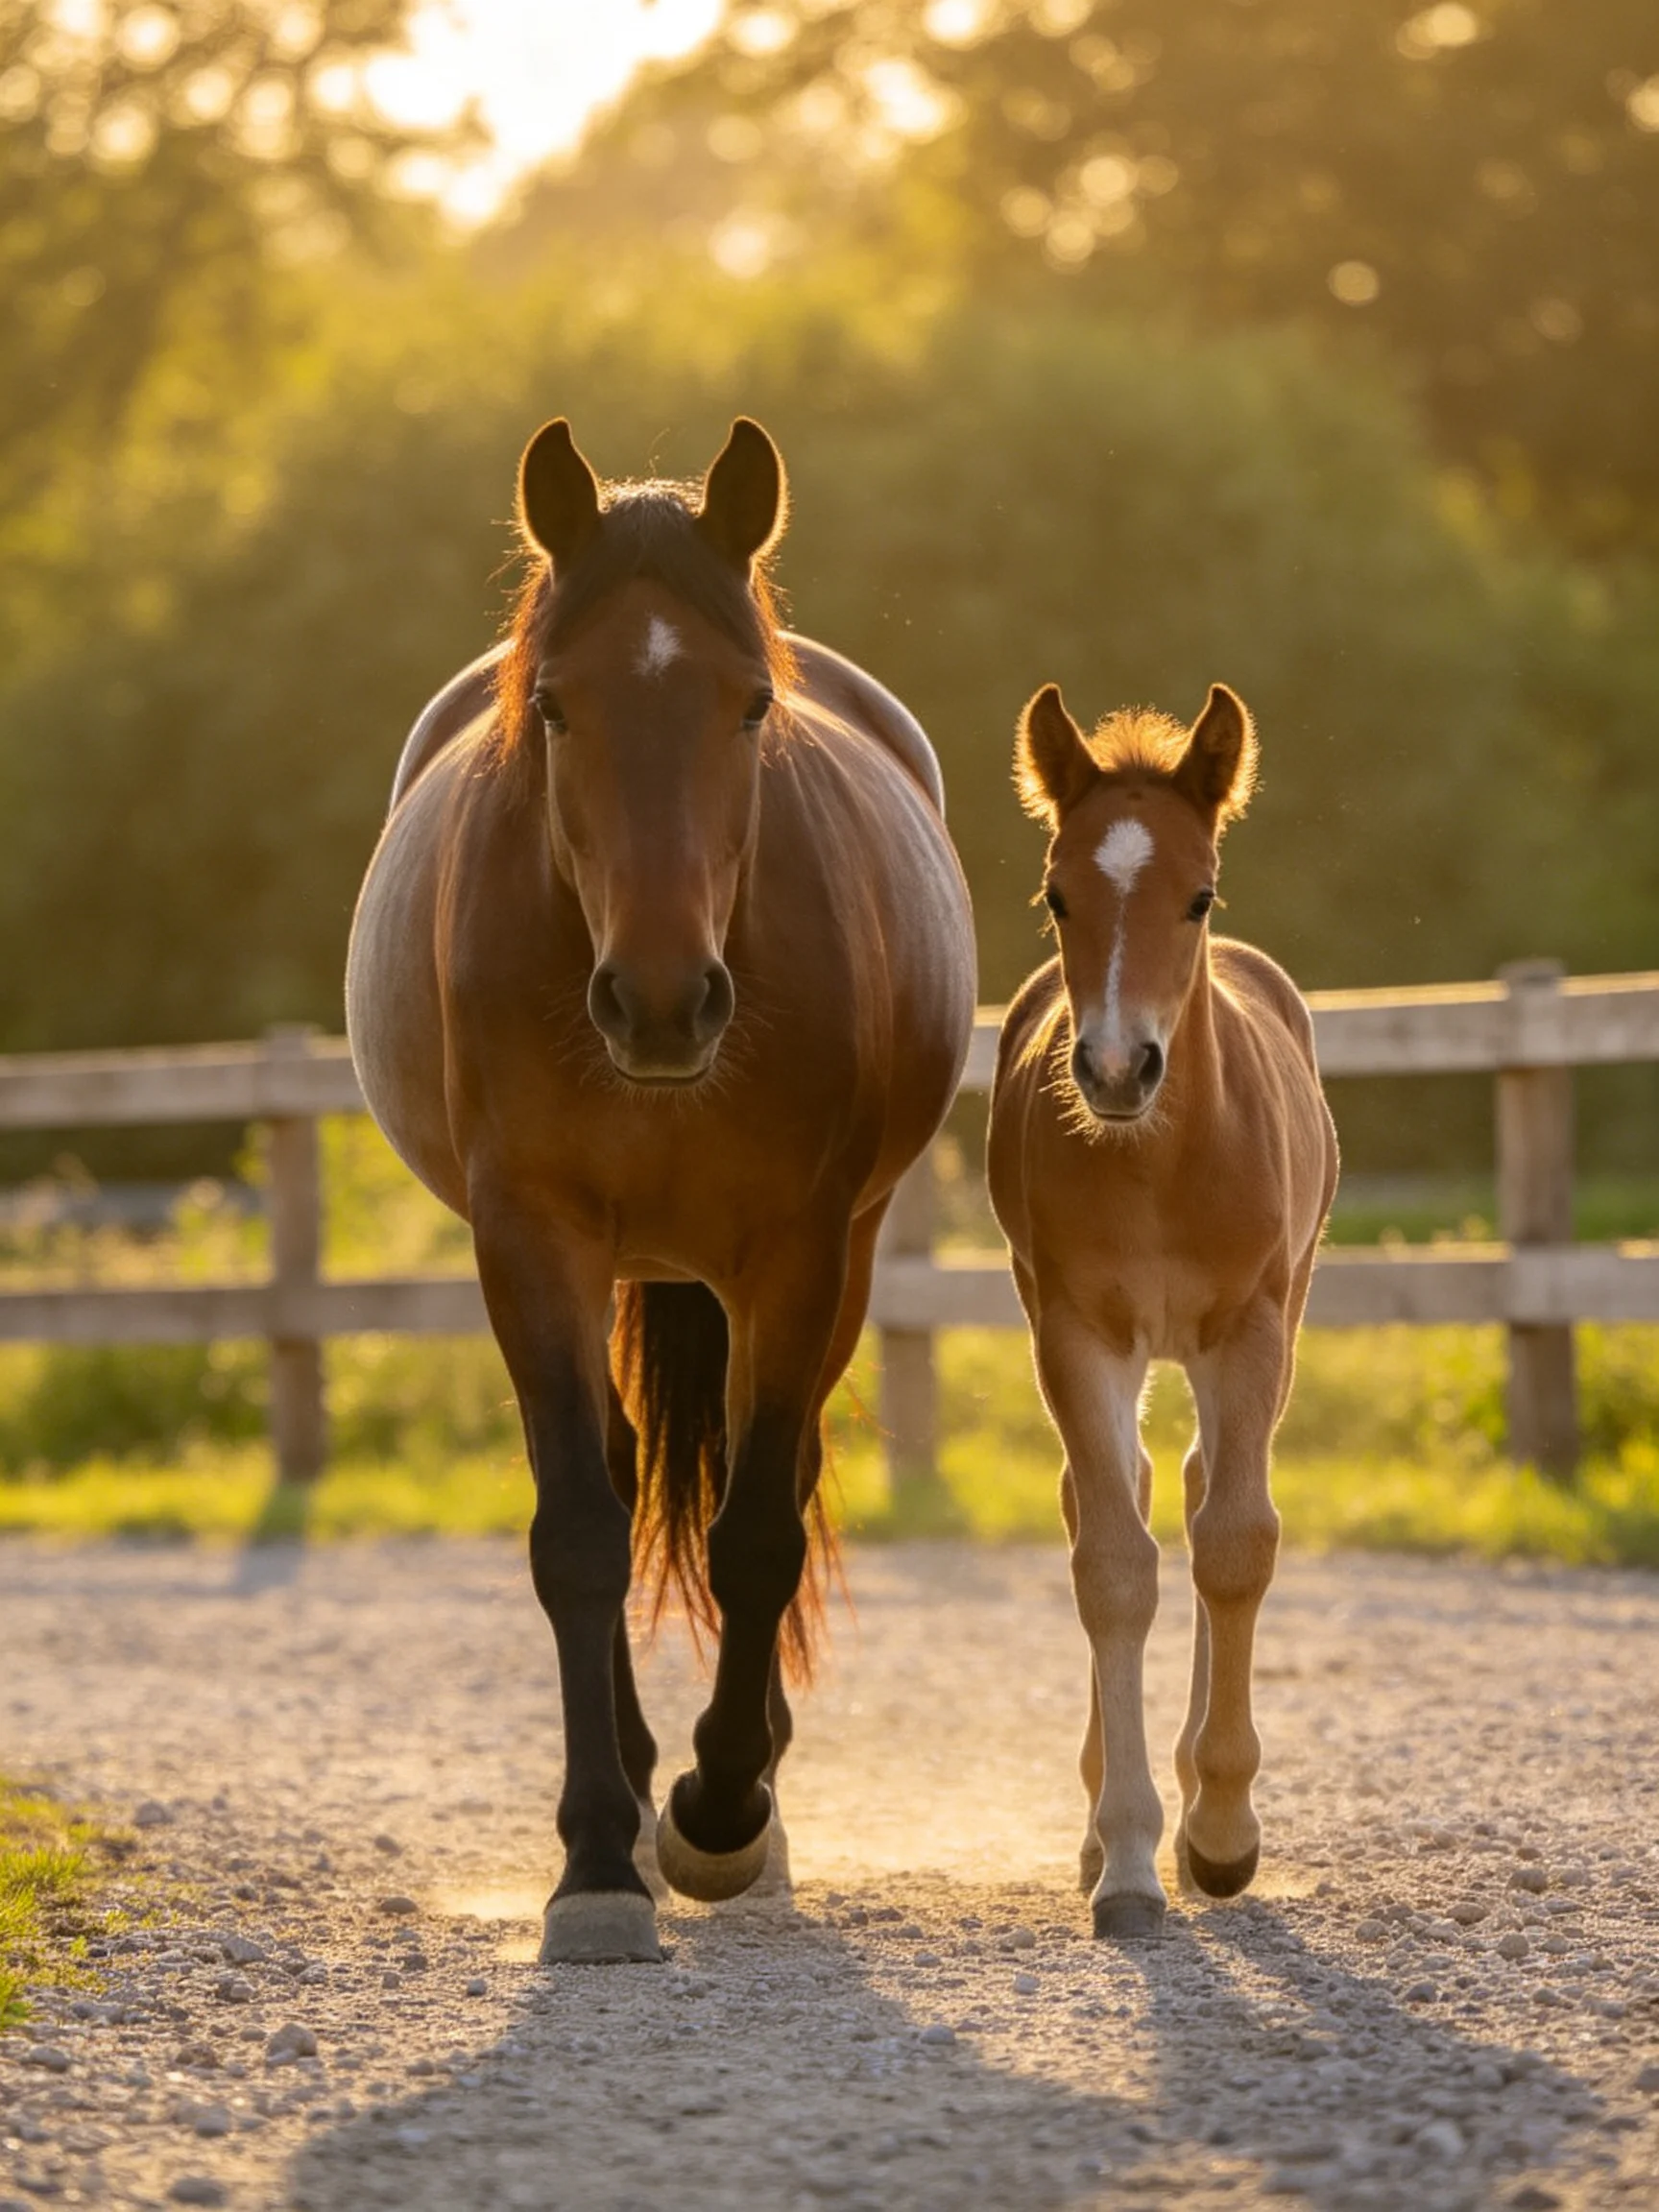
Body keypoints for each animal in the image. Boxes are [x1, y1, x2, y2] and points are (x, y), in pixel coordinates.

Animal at [346, 417, 976, 1963]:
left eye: (749, 708)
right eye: (556, 709)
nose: (661, 1002)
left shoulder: (800, 1251)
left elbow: (756, 1533)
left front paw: (722, 1809)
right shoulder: (530, 1241)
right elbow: (580, 1529)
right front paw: (595, 1859)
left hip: (833, 1257)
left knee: (773, 1470)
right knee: (625, 1478)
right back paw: (631, 1779)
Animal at [986, 681, 1337, 1939]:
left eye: (1198, 896)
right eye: (1058, 894)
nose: (1114, 1069)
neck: (1163, 1163)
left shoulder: (1252, 1328)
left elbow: (1234, 1544)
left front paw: (1222, 1834)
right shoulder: (1077, 1333)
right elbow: (1114, 1566)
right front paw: (1131, 1855)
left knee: (1191, 1489)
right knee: (1124, 1495)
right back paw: (1110, 1824)